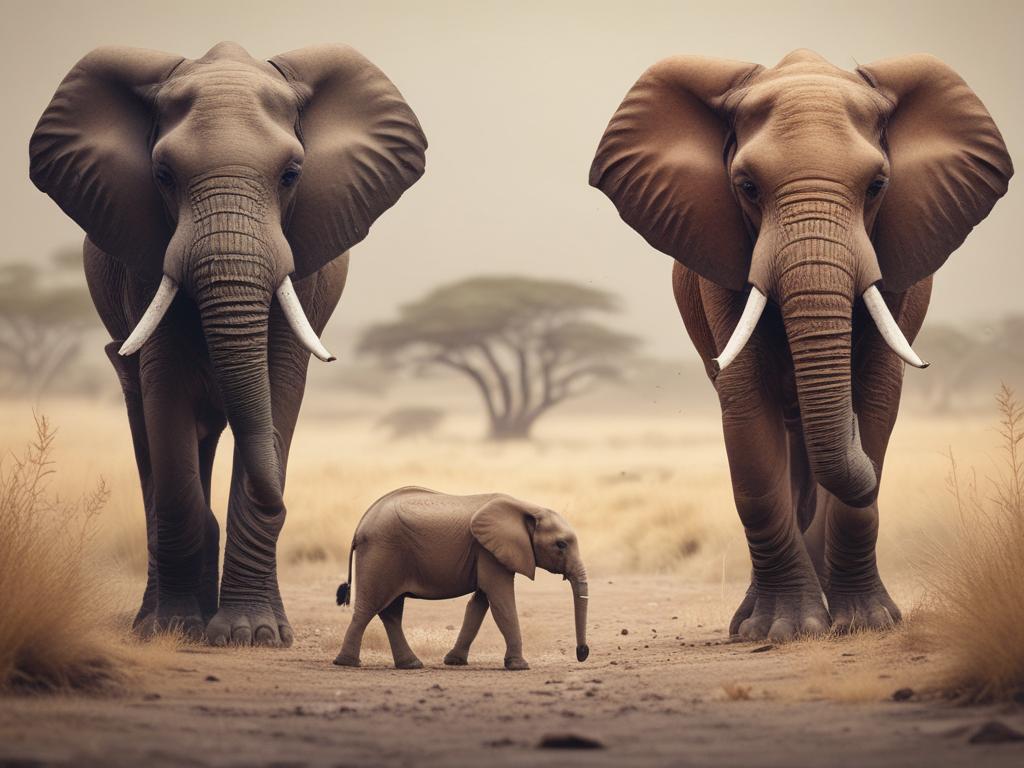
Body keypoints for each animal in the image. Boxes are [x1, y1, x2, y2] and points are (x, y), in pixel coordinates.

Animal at [28, 42, 427, 647]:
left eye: (291, 174)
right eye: (163, 175)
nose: (342, 585)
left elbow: (278, 388)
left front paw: (251, 635)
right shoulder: (145, 258)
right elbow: (167, 407)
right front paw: (175, 629)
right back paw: (159, 620)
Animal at [333, 487, 589, 670]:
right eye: (561, 544)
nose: (582, 653)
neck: (527, 507)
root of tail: (361, 524)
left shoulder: (487, 552)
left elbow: (479, 603)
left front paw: (454, 662)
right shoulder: (488, 551)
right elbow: (501, 600)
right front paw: (520, 666)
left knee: (391, 612)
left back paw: (411, 665)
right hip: (381, 552)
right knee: (369, 607)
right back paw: (347, 663)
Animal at [590, 50, 1012, 641]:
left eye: (878, 185)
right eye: (746, 186)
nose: (847, 427)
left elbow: (877, 398)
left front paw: (866, 624)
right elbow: (748, 417)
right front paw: (783, 630)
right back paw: (755, 621)